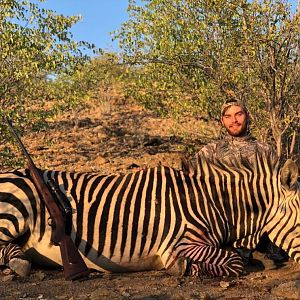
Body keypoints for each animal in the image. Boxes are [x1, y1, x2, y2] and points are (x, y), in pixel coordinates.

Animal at [0, 156, 298, 278]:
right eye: (298, 224)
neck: (212, 203)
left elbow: (235, 256)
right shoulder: (182, 242)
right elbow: (234, 262)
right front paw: (184, 268)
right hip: (16, 208)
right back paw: (19, 263)